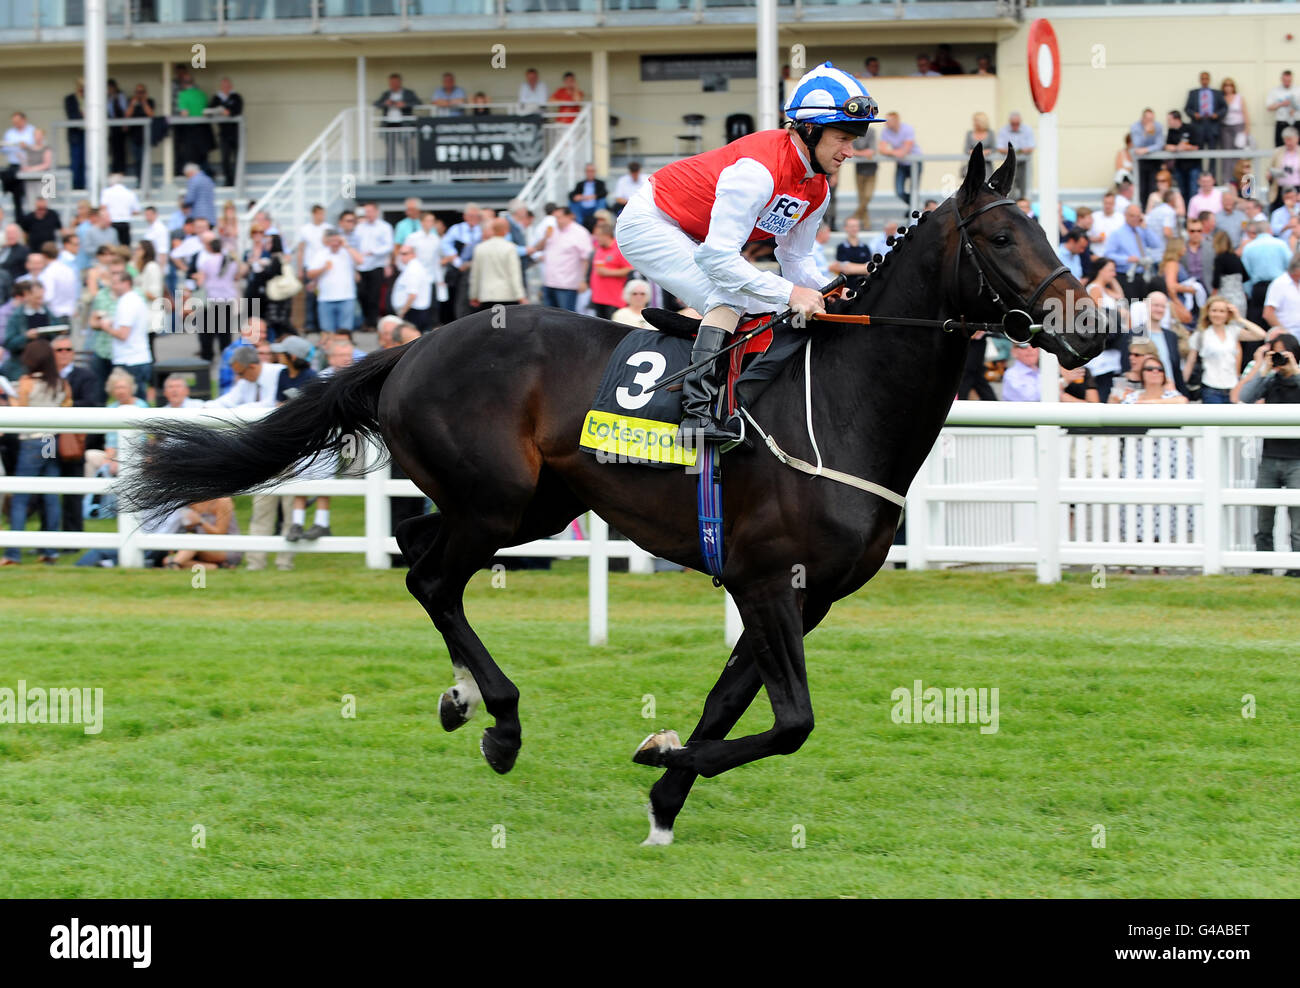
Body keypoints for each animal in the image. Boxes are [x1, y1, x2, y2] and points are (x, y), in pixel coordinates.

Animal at [123, 145, 1105, 845]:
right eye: (1001, 238)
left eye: (1049, 230)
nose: (1092, 328)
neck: (841, 400)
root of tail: (412, 345)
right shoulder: (767, 580)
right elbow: (791, 721)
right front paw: (659, 751)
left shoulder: (802, 596)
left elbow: (734, 701)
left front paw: (667, 793)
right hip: (498, 500)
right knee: (433, 577)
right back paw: (500, 722)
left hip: (535, 504)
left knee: (418, 552)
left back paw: (459, 699)